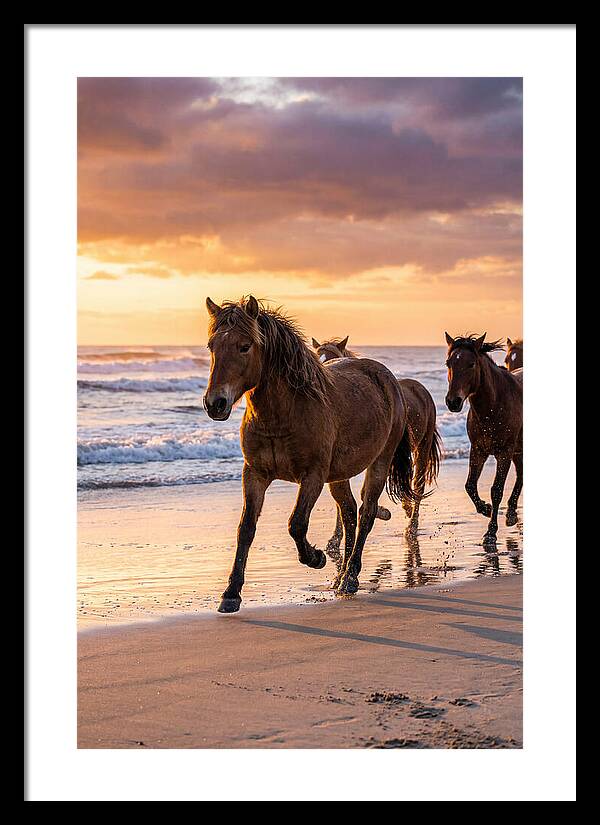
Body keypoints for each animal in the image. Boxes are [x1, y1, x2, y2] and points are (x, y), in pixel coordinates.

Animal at [203, 296, 415, 612]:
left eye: (244, 346)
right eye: (212, 346)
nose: (215, 403)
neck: (284, 414)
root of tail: (389, 379)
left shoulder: (312, 476)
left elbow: (296, 524)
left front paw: (316, 558)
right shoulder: (254, 474)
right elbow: (246, 528)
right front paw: (231, 593)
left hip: (379, 463)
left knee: (365, 513)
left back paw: (350, 576)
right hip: (338, 476)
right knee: (349, 513)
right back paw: (340, 577)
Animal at [312, 336, 442, 536]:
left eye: (333, 358)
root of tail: (420, 389)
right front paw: (336, 537)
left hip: (422, 448)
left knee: (417, 485)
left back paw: (411, 524)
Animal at [444, 332, 523, 545]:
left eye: (471, 364)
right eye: (448, 363)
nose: (453, 402)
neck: (494, 405)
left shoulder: (504, 452)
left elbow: (496, 490)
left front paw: (491, 532)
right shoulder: (478, 450)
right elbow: (470, 485)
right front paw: (485, 509)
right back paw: (511, 513)